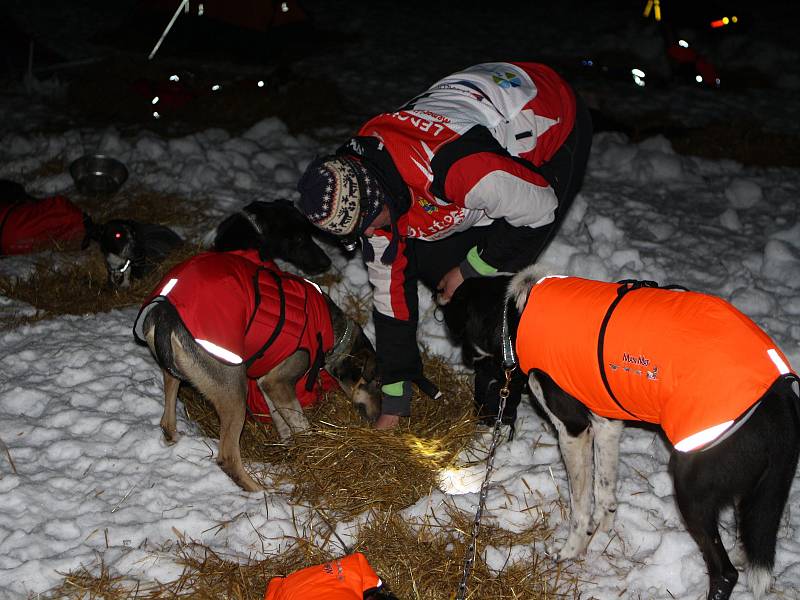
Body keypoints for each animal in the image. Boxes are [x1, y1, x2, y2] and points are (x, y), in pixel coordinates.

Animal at [133, 251, 382, 490]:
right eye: (378, 383)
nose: (378, 420)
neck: (333, 331)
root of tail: (165, 313)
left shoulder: (268, 385)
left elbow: (283, 423)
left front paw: (293, 450)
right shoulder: (279, 383)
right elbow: (301, 425)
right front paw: (312, 449)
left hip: (174, 376)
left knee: (167, 421)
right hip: (235, 391)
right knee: (228, 457)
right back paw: (259, 491)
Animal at [444, 268, 800, 600]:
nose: (481, 405)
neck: (515, 312)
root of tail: (779, 397)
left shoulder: (574, 430)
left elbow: (581, 506)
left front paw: (572, 549)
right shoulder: (606, 423)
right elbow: (605, 493)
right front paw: (602, 533)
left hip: (692, 487)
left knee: (725, 572)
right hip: (757, 489)